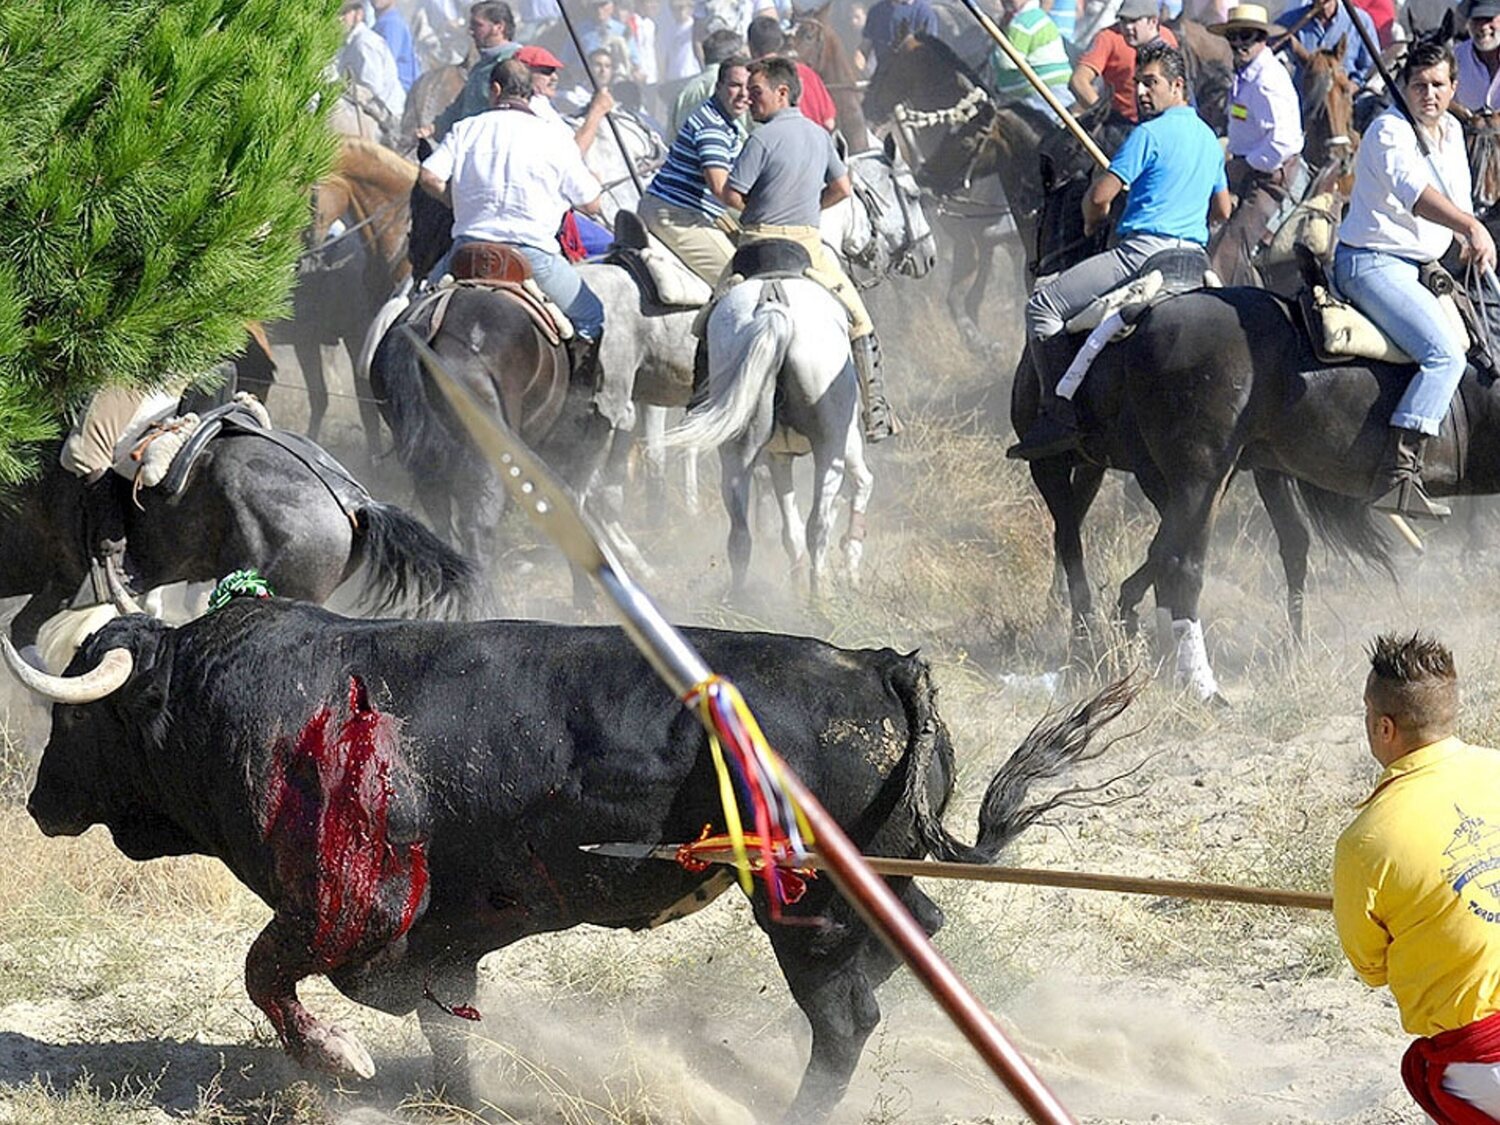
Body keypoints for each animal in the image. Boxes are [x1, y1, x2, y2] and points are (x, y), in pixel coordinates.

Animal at [17, 600, 1134, 1122]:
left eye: (80, 716)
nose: (35, 800)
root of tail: (877, 664)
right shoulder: (441, 936)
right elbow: (444, 1017)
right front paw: (453, 1096)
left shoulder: (349, 908)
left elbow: (268, 975)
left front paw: (342, 1061)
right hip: (878, 887)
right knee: (909, 952)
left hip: (805, 910)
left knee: (843, 1019)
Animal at [660, 279, 864, 603]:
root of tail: (772, 305)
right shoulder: (846, 443)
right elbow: (861, 484)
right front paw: (849, 571)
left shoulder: (779, 456)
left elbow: (790, 527)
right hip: (830, 442)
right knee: (819, 523)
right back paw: (819, 595)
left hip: (737, 449)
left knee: (740, 532)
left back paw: (739, 597)